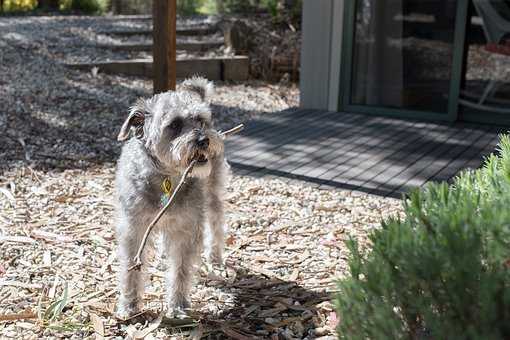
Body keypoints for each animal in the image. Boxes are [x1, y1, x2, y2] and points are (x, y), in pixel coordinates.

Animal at [114, 75, 228, 318]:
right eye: (174, 124)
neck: (168, 177)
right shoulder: (134, 229)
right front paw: (129, 305)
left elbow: (181, 269)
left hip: (212, 196)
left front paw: (178, 306)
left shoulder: (186, 228)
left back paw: (215, 258)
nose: (204, 140)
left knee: (216, 224)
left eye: (200, 120)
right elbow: (131, 269)